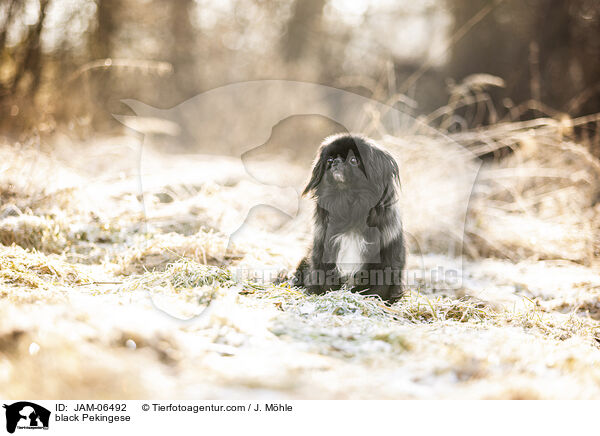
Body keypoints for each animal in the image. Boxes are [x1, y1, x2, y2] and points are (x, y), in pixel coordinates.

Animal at [292, 133, 406, 304]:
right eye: (329, 160)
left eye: (353, 160)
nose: (336, 162)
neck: (349, 207)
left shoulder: (384, 264)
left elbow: (377, 288)